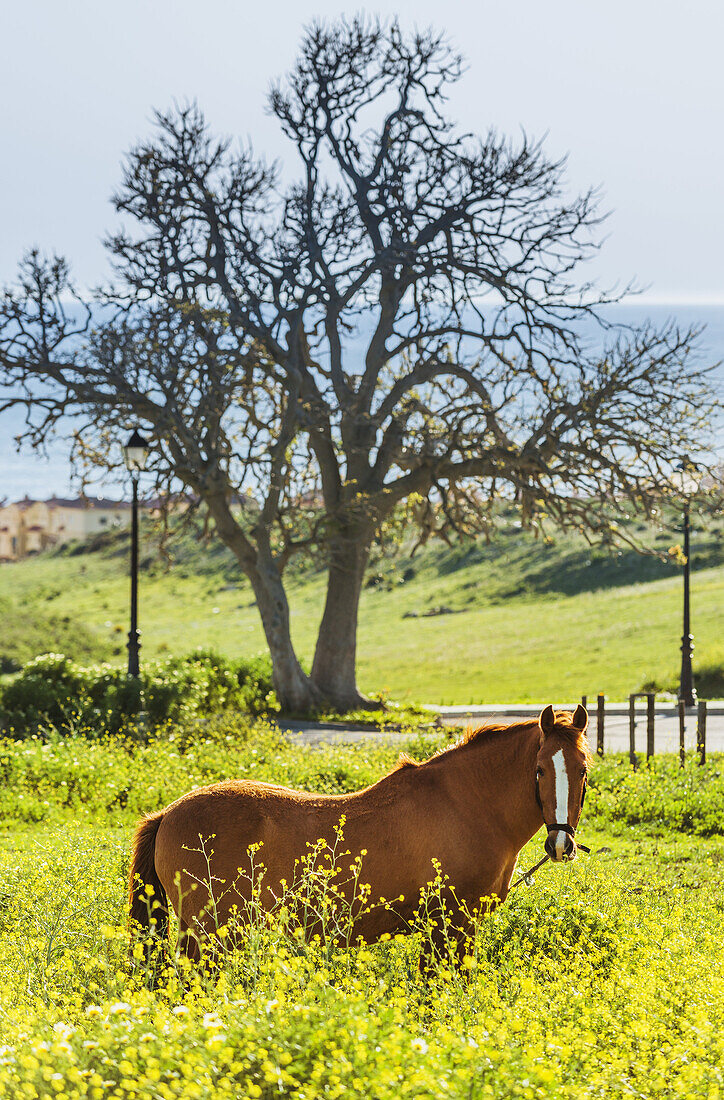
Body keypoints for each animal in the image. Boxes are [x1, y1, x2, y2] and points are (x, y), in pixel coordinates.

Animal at [129, 708, 589, 959]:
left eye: (584, 770)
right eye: (540, 770)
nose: (560, 844)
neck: (466, 802)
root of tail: (167, 814)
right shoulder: (452, 924)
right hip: (208, 935)